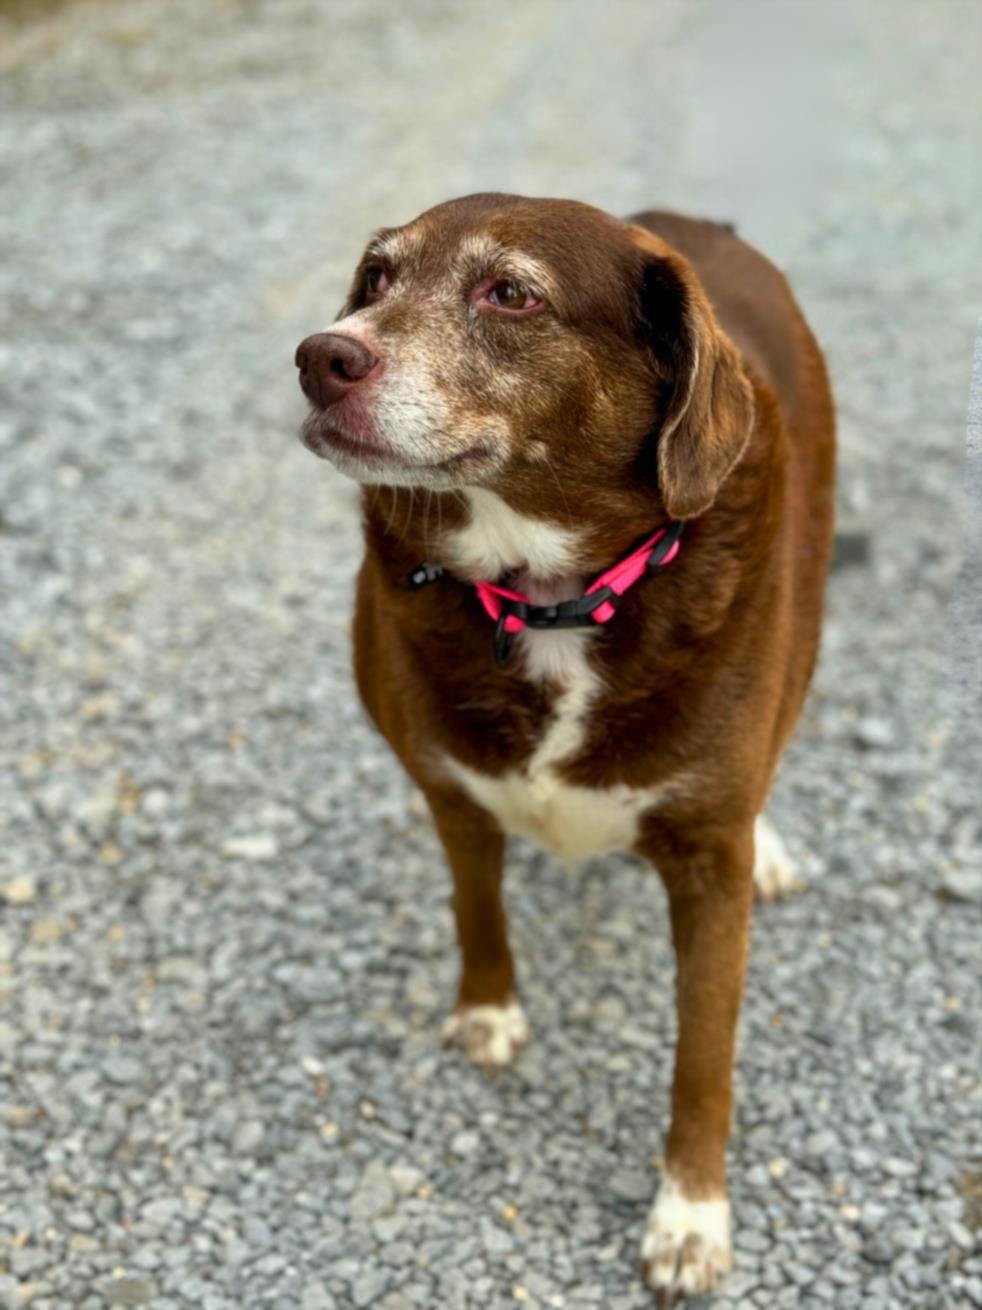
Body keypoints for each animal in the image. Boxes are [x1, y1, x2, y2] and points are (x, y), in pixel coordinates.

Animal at [294, 191, 837, 1299]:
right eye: (376, 279)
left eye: (511, 293)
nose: (320, 356)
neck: (547, 597)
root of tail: (686, 220)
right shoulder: (449, 786)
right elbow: (475, 907)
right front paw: (488, 1011)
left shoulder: (705, 865)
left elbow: (703, 1056)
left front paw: (689, 1216)